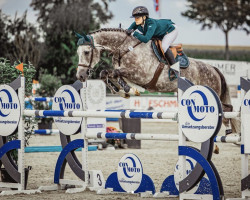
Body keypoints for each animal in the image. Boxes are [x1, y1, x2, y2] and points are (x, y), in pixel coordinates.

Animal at [75, 27, 240, 134]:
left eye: (86, 52)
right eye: (78, 52)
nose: (80, 76)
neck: (126, 48)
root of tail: (213, 68)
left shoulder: (140, 74)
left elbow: (114, 73)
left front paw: (127, 90)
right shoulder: (127, 73)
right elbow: (107, 73)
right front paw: (123, 90)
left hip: (212, 93)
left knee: (227, 109)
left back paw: (229, 132)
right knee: (227, 108)